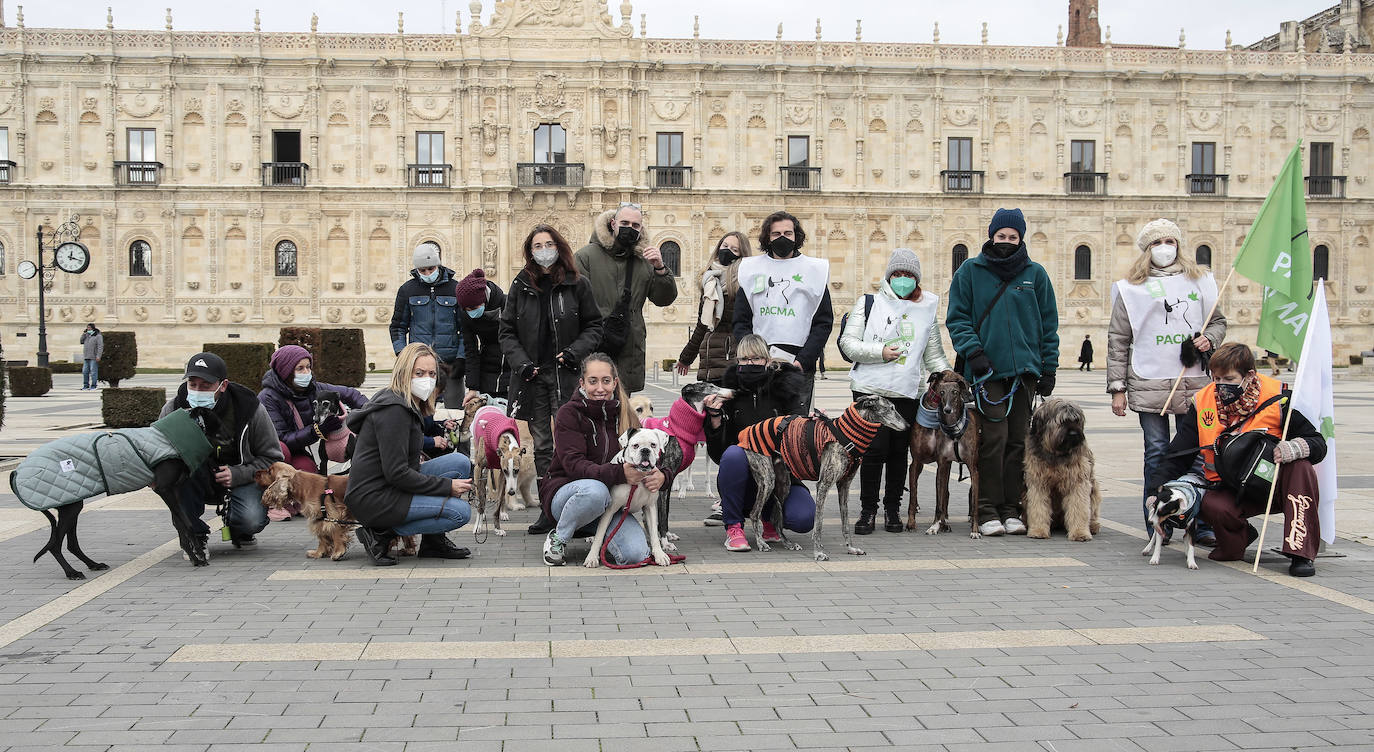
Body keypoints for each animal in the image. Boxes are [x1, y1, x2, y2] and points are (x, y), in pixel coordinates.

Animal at [256, 461, 417, 560]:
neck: (302, 485)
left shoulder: (334, 514)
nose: (255, 473)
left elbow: (335, 533)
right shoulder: (318, 517)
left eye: (269, 471)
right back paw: (406, 549)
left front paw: (338, 552)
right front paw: (318, 553)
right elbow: (322, 537)